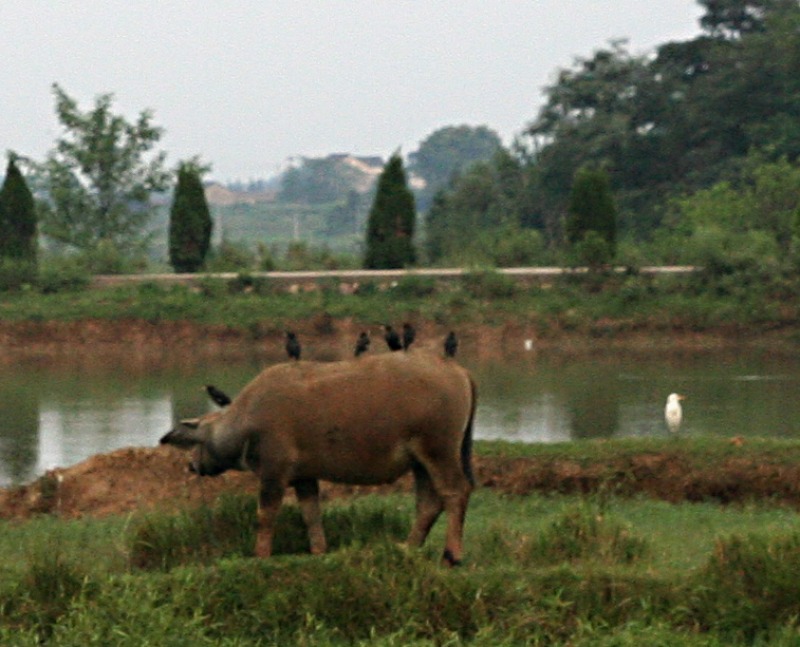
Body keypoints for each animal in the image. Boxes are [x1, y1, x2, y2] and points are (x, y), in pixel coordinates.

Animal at [159, 350, 478, 568]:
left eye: (196, 441)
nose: (192, 464)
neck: (246, 419)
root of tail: (456, 368)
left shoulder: (274, 473)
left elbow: (266, 515)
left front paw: (260, 554)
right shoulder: (304, 477)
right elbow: (311, 514)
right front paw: (318, 550)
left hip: (438, 451)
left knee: (455, 491)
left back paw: (451, 555)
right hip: (420, 461)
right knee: (429, 501)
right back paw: (409, 547)